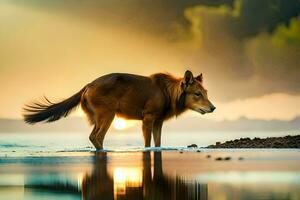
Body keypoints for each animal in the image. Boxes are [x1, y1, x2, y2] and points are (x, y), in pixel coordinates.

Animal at [23, 69, 216, 149]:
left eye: (206, 92)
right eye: (197, 94)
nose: (213, 108)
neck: (168, 93)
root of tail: (88, 85)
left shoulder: (158, 121)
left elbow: (158, 143)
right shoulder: (148, 118)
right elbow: (148, 144)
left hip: (99, 118)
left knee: (94, 136)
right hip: (108, 115)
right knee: (96, 137)